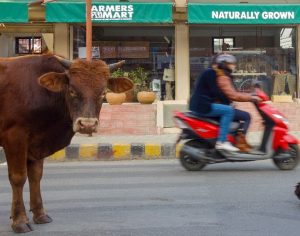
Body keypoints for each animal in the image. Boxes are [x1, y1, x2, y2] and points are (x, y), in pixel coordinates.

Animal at [0, 54, 134, 233]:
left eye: (103, 93)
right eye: (72, 91)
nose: (87, 125)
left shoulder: (37, 142)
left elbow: (36, 176)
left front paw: (40, 214)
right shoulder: (15, 137)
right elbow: (18, 177)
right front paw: (19, 220)